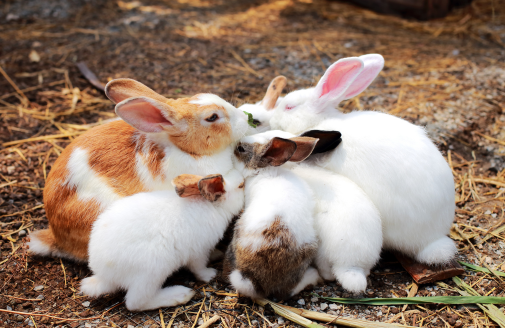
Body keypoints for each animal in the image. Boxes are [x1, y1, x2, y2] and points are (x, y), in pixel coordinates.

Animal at [81, 170, 245, 312]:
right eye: (241, 186)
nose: (243, 179)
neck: (213, 207)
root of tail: (104, 276)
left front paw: (216, 254)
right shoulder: (198, 251)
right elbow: (198, 268)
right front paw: (210, 274)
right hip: (152, 272)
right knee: (135, 303)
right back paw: (180, 295)